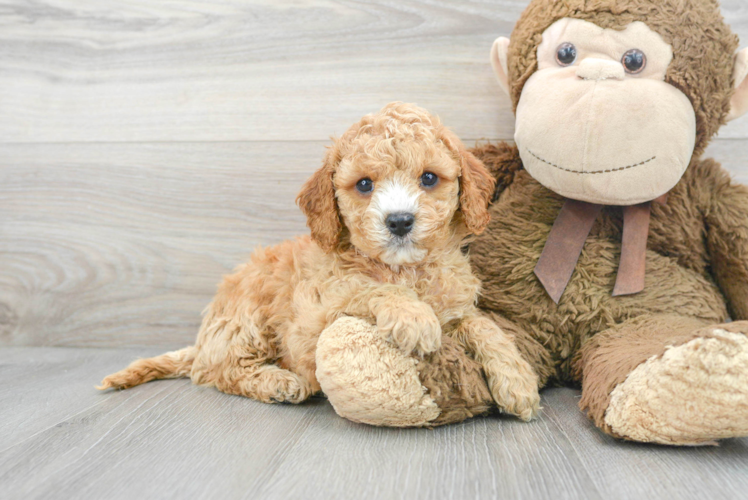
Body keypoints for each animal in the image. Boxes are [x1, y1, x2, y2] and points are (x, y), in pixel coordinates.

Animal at [102, 103, 540, 420]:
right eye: (364, 184)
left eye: (429, 178)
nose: (399, 221)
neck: (404, 269)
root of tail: (203, 339)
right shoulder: (314, 317)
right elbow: (366, 288)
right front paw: (413, 316)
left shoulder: (456, 306)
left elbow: (481, 326)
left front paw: (518, 381)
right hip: (246, 314)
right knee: (214, 371)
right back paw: (277, 382)